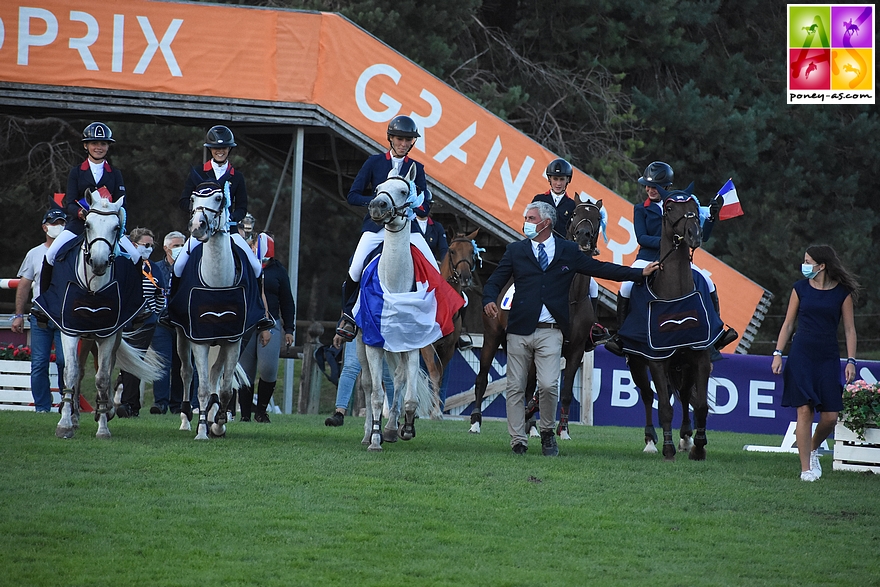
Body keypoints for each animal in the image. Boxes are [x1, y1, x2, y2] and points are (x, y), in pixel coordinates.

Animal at [52, 191, 167, 438]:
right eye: (87, 224)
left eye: (116, 227)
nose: (99, 262)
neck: (93, 288)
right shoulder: (70, 330)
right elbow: (71, 372)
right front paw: (65, 424)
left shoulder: (109, 333)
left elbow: (103, 377)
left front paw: (103, 426)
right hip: (85, 337)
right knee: (80, 371)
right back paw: (75, 416)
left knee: (104, 368)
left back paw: (105, 410)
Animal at [624, 195, 716, 462]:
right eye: (670, 208)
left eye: (695, 207)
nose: (694, 234)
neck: (676, 295)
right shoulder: (656, 360)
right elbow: (664, 407)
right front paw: (667, 449)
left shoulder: (700, 356)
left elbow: (701, 406)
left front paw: (698, 447)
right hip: (638, 362)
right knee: (647, 395)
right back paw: (650, 441)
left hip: (683, 364)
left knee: (684, 395)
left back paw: (686, 437)